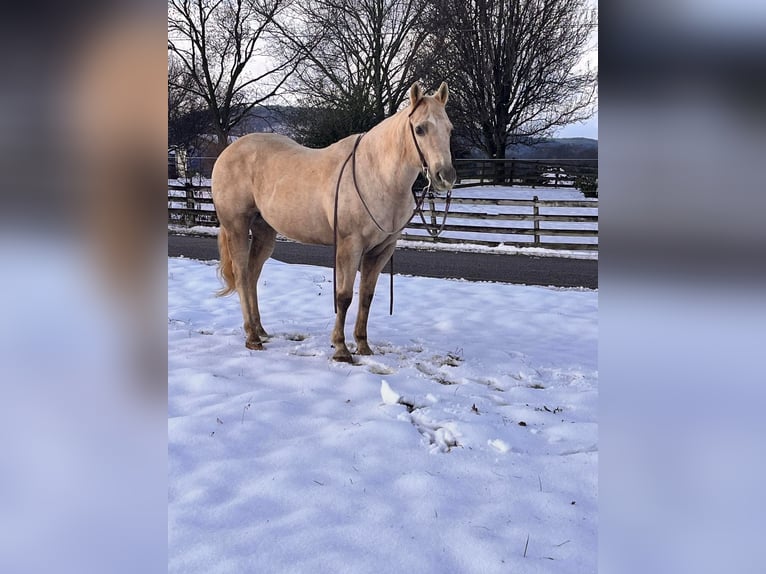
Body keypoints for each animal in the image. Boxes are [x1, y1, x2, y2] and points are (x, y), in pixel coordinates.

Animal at [211, 81, 456, 362]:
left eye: (449, 129)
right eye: (420, 129)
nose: (445, 176)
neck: (375, 174)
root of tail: (227, 152)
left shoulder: (381, 250)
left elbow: (366, 297)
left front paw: (363, 346)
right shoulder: (350, 246)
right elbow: (344, 297)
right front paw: (341, 349)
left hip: (264, 232)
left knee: (252, 275)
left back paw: (260, 330)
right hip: (237, 228)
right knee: (242, 277)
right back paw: (252, 337)